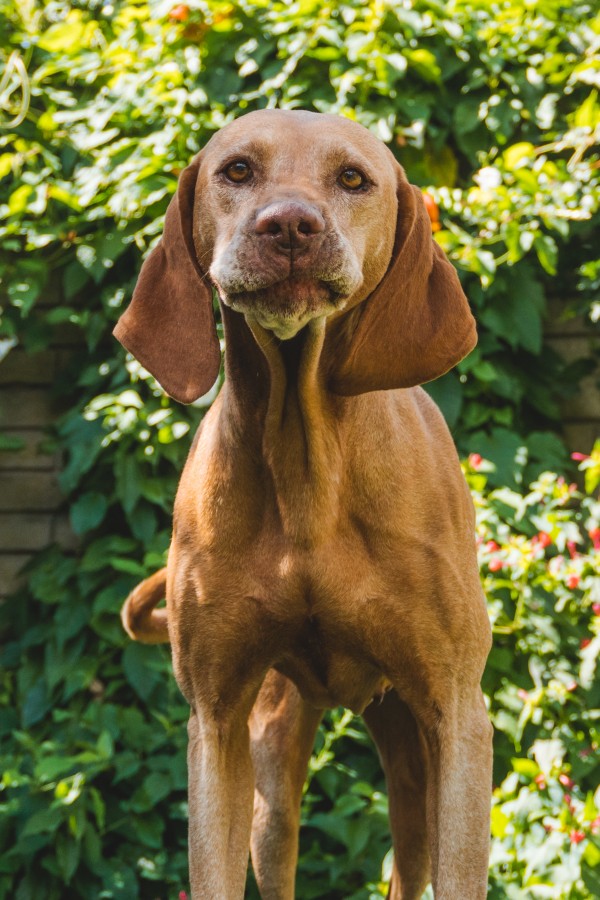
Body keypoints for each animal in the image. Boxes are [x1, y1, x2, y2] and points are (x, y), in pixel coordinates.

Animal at [116, 110, 492, 900]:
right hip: (273, 769)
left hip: (414, 762)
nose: (288, 225)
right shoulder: (216, 723)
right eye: (237, 171)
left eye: (352, 178)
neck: (306, 464)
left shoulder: (457, 718)